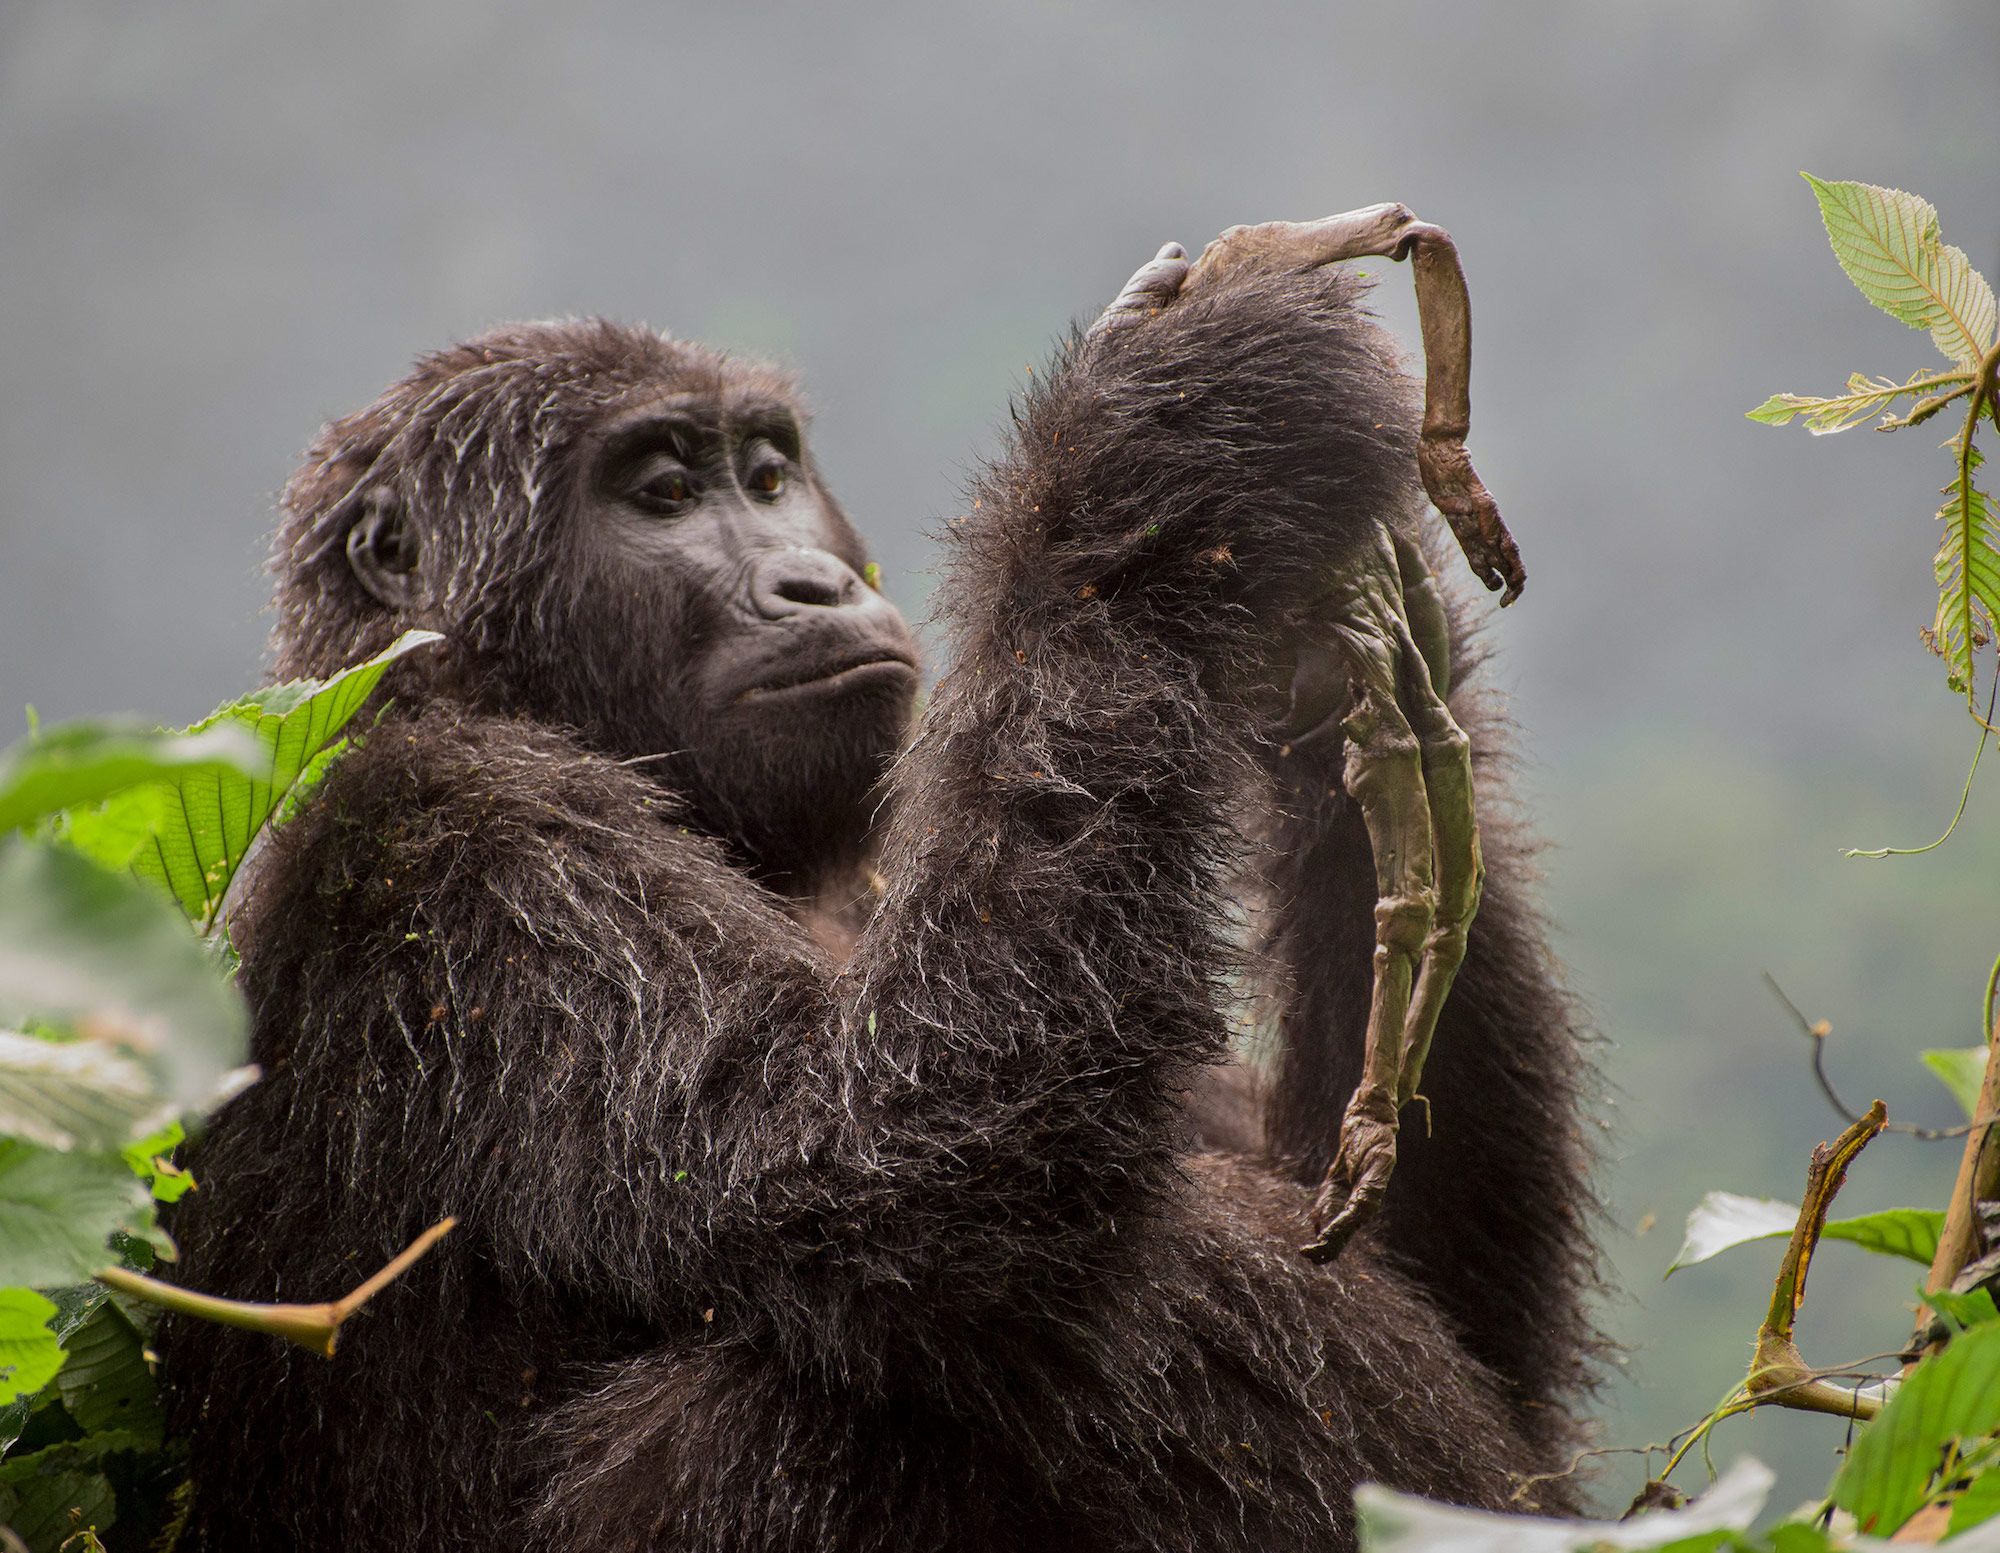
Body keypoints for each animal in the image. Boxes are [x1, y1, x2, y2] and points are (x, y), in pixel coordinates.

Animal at [156, 212, 1600, 1544]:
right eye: (659, 495)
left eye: (766, 475)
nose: (811, 580)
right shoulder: (456, 842)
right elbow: (865, 1186)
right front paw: (1175, 435)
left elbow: (1413, 1265)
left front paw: (1333, 635)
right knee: (812, 1385)